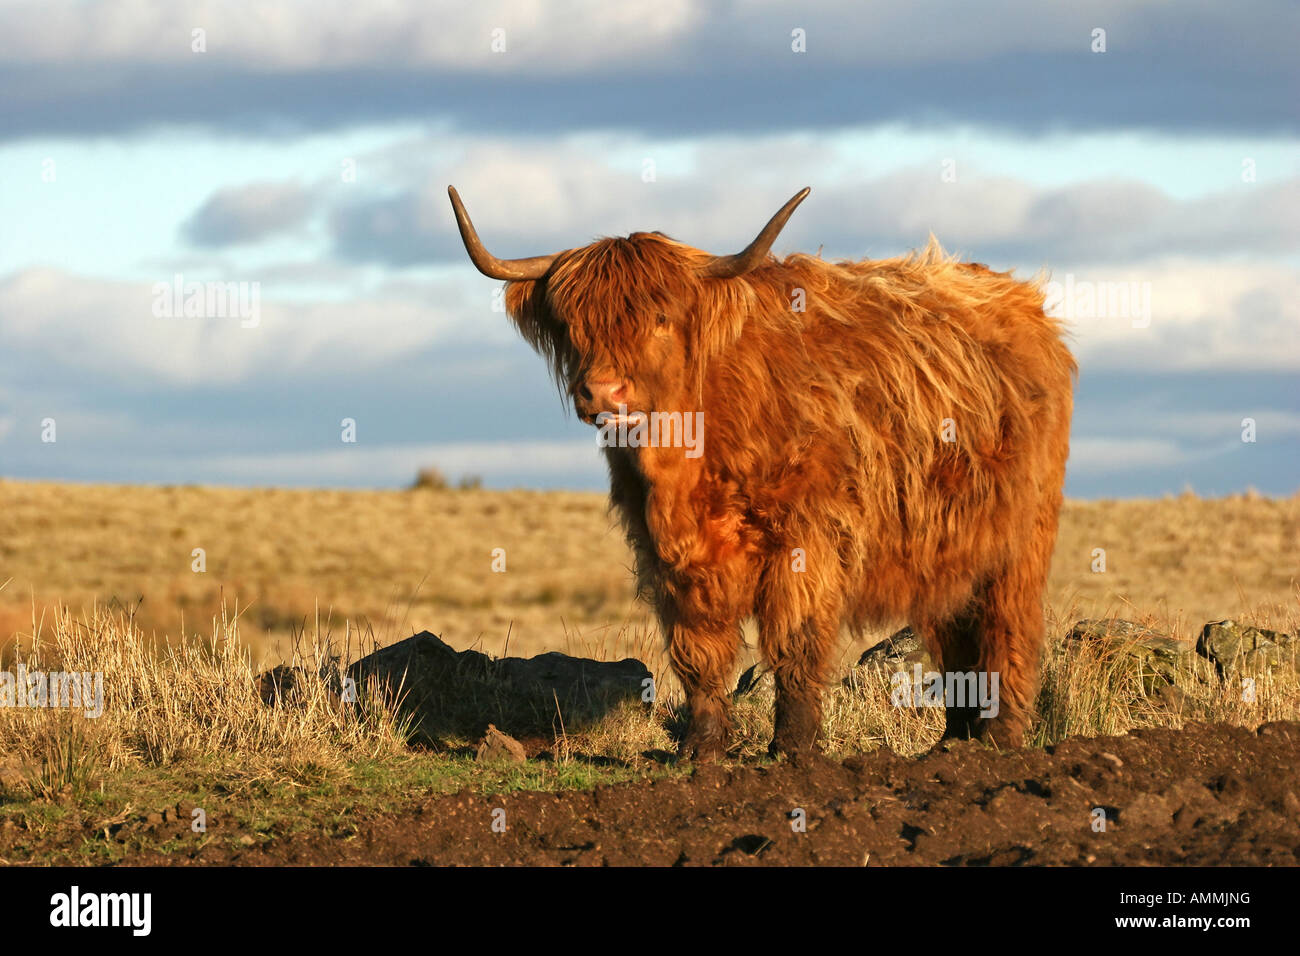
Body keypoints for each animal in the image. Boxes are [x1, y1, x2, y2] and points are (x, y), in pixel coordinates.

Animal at [448, 185, 1075, 760]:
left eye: (660, 317)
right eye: (573, 324)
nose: (603, 391)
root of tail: (1021, 301)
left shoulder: (808, 541)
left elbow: (794, 642)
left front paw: (792, 748)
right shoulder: (671, 557)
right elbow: (697, 651)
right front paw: (701, 749)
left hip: (1020, 542)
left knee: (1010, 633)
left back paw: (1000, 742)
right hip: (947, 551)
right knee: (956, 639)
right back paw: (952, 743)